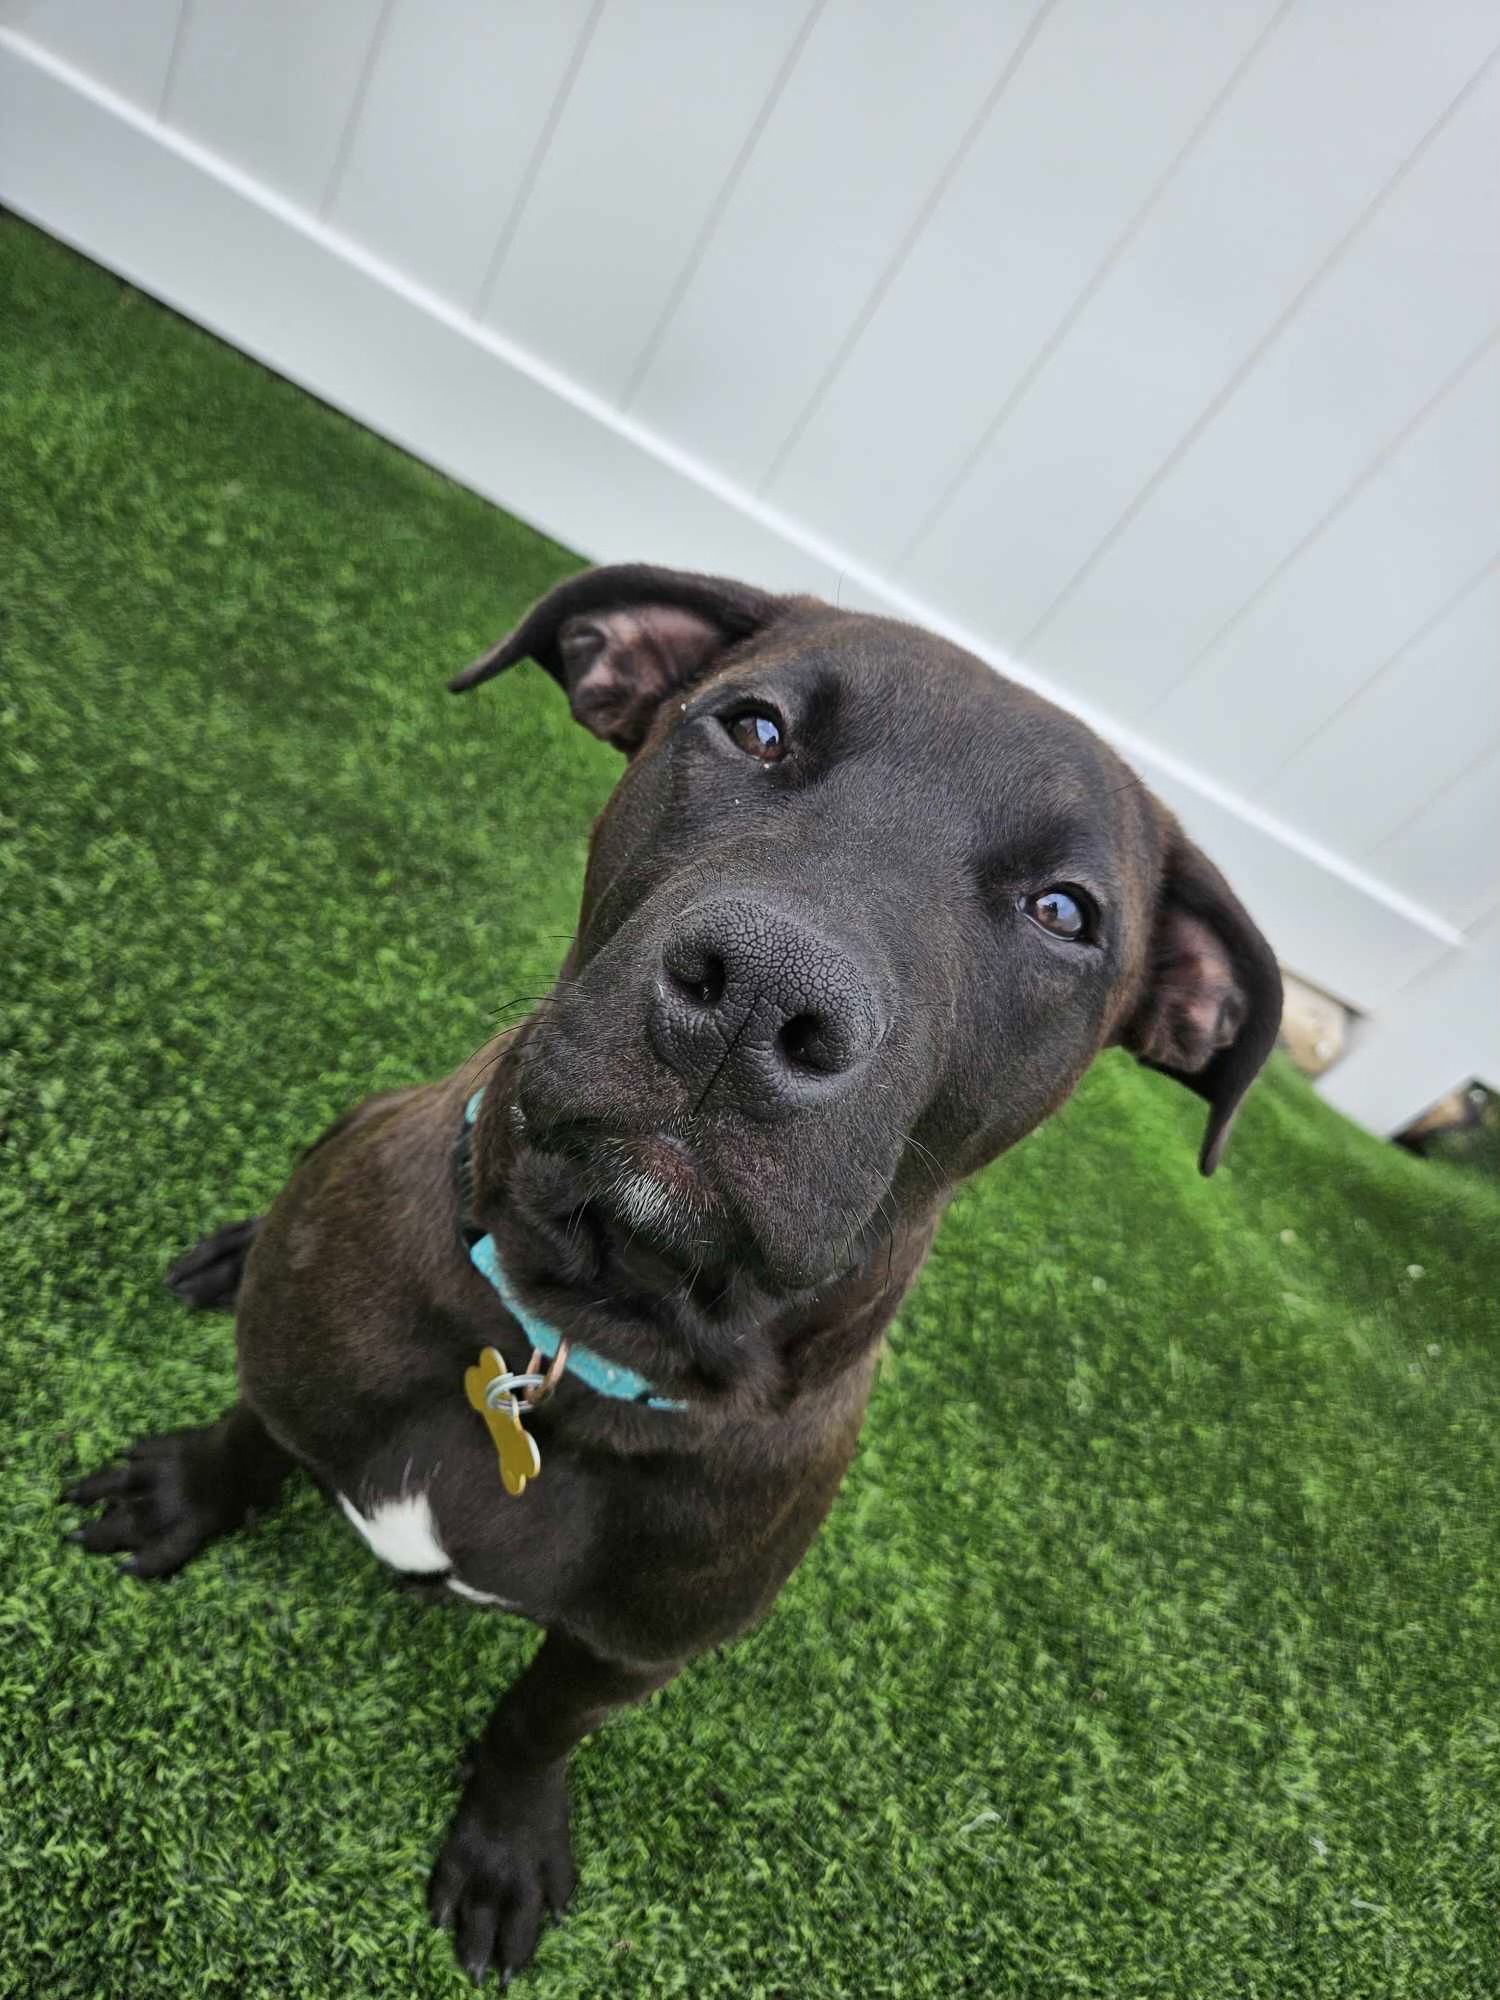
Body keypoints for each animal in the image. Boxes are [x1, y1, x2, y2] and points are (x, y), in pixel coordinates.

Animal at [58, 564, 1280, 1984]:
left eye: (1067, 912)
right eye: (754, 727)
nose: (758, 995)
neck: (576, 1337)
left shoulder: (631, 1647)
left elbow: (539, 1719)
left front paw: (506, 1840)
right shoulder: (308, 1366)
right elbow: (252, 1433)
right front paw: (179, 1490)